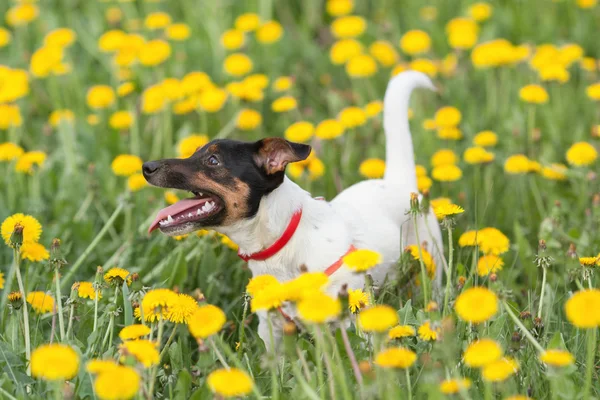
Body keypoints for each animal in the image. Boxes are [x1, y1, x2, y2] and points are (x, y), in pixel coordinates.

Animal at [144, 70, 446, 346]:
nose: (147, 166)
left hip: (431, 262)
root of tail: (398, 180)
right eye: (195, 153)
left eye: (213, 161)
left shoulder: (351, 320)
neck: (280, 246)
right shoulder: (273, 330)